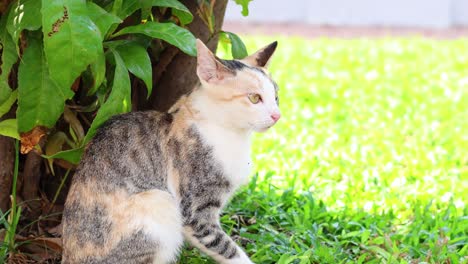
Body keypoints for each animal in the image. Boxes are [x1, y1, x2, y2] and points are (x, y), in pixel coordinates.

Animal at [62, 39, 282, 264]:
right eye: (254, 98)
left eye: (276, 97)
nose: (277, 115)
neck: (231, 134)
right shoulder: (195, 211)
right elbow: (227, 248)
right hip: (158, 202)